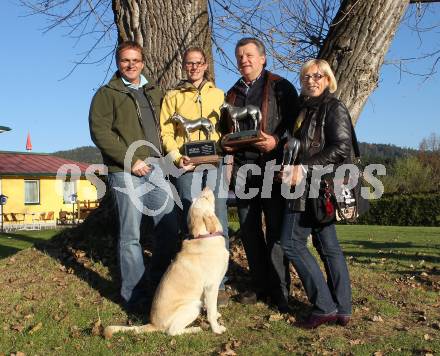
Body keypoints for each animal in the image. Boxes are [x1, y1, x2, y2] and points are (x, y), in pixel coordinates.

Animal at [104, 188, 229, 338]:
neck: (203, 236)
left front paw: (217, 315)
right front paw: (216, 328)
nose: (207, 188)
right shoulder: (211, 286)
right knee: (172, 331)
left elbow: (212, 308)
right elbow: (210, 311)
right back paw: (194, 329)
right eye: (204, 197)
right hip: (192, 306)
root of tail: (153, 324)